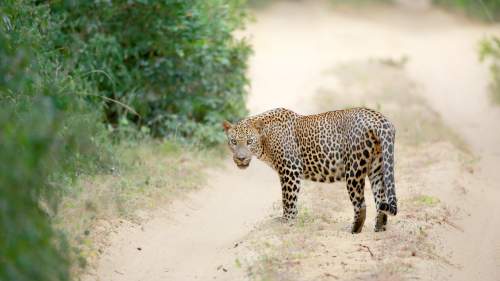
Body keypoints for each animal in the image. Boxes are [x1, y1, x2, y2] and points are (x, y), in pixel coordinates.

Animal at [224, 106, 398, 232]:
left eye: (249, 141)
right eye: (233, 141)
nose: (240, 158)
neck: (265, 139)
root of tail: (379, 118)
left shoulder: (290, 169)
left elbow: (288, 199)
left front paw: (286, 221)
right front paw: (292, 220)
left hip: (354, 169)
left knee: (361, 205)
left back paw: (353, 230)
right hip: (377, 168)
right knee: (381, 200)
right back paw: (379, 228)